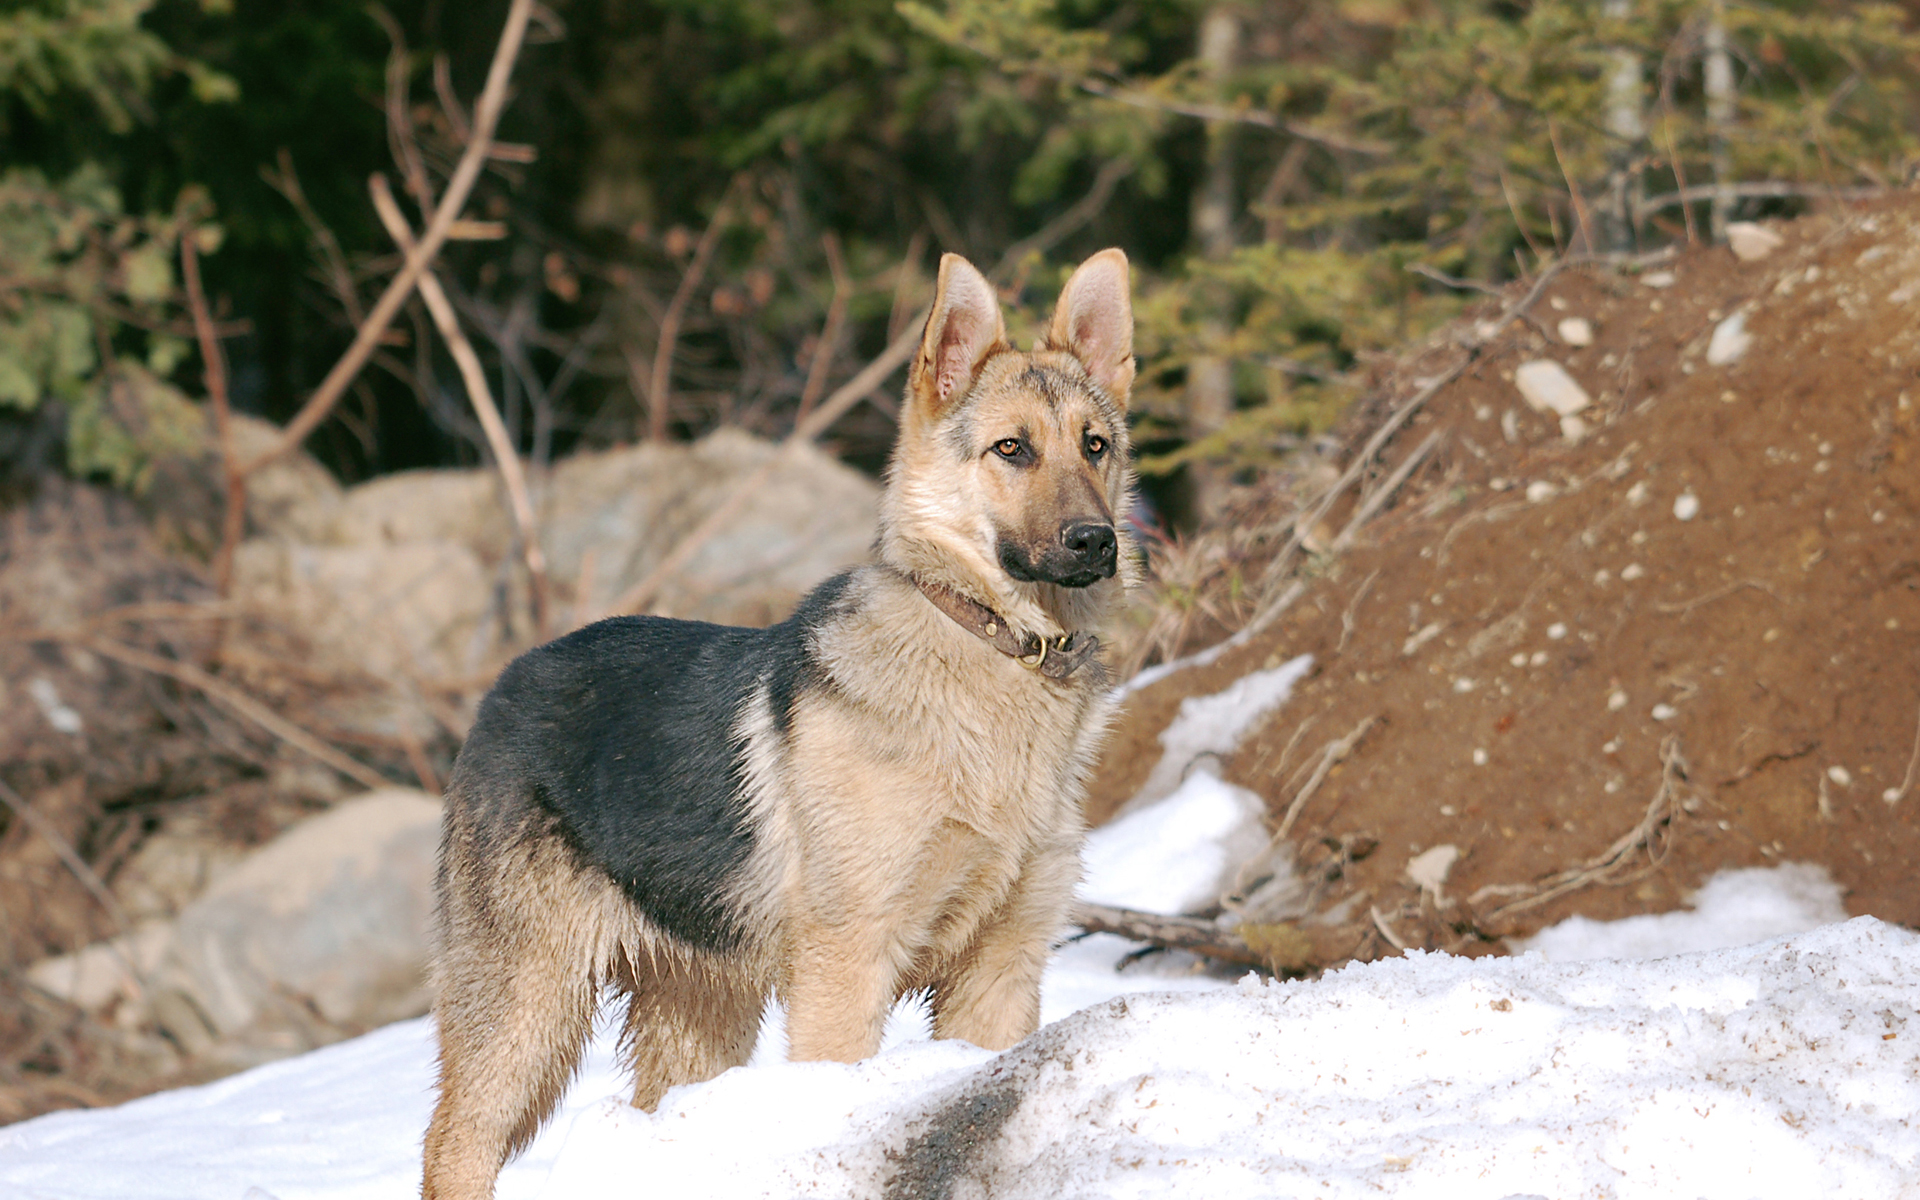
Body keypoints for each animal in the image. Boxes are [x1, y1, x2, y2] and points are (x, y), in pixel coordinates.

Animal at [424, 247, 1136, 1190]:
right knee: (452, 1144)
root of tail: (511, 675)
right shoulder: (847, 968)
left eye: (1096, 447)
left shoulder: (1001, 972)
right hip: (530, 1008)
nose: (1097, 542)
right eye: (1011, 449)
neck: (987, 646)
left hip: (698, 1020)